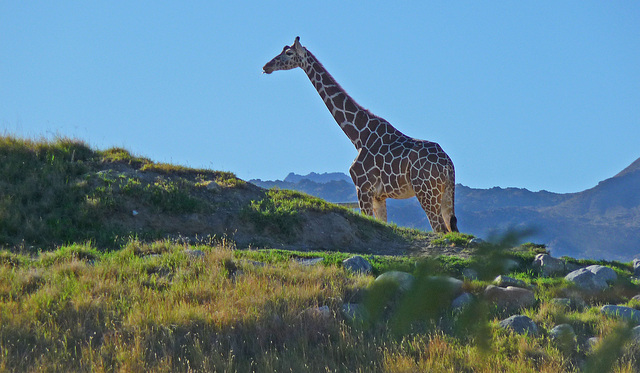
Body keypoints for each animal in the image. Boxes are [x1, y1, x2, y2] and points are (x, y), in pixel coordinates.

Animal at [262, 36, 458, 231]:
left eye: (289, 53)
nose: (266, 66)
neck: (358, 135)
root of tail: (448, 164)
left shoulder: (363, 188)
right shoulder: (379, 196)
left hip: (426, 191)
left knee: (440, 229)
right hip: (445, 194)